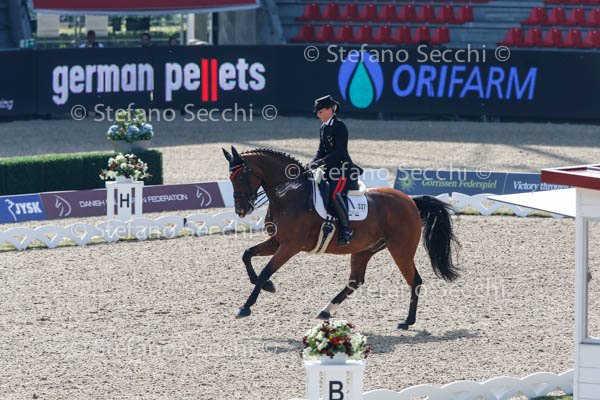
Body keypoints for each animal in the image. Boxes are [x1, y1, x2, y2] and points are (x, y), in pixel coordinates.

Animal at [222, 146, 460, 329]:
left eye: (242, 176)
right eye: (230, 178)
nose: (241, 210)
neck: (288, 194)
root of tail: (410, 201)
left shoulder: (289, 246)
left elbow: (265, 270)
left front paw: (245, 307)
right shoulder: (276, 242)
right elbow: (247, 255)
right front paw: (268, 286)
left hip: (400, 250)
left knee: (415, 281)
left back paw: (407, 321)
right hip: (365, 249)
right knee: (355, 281)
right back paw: (326, 310)